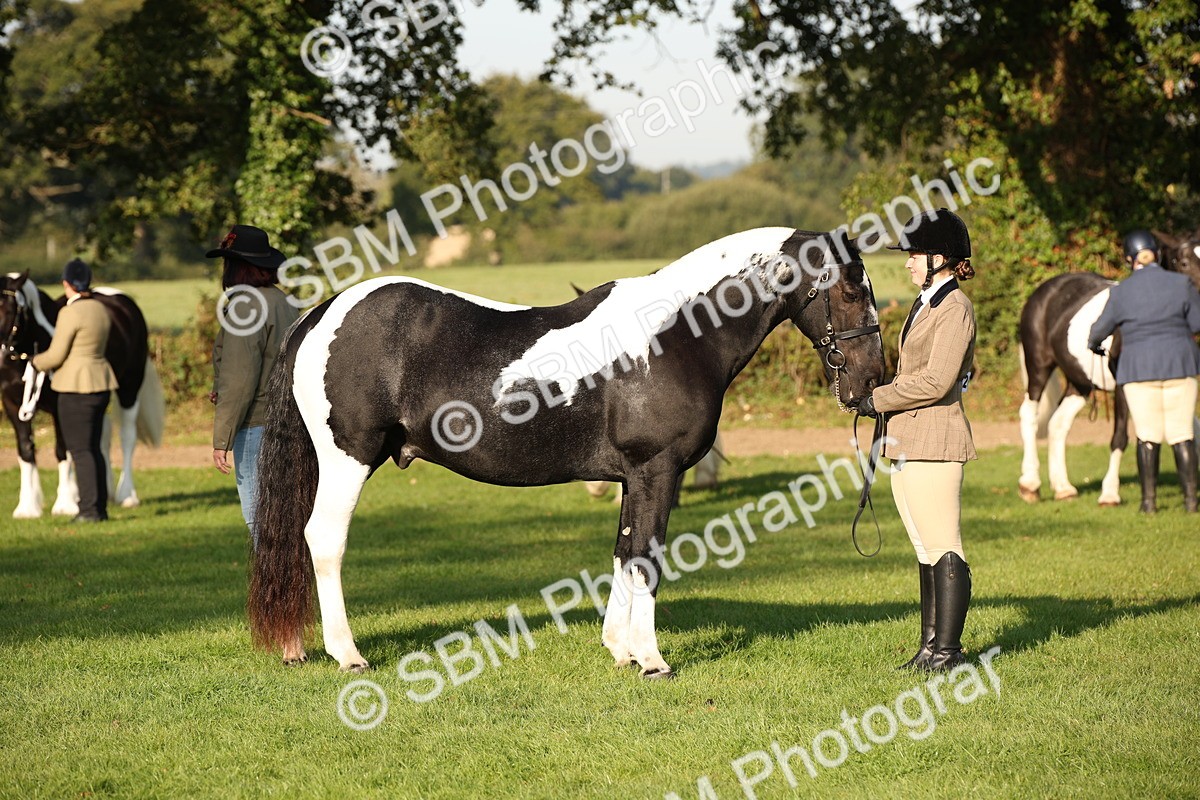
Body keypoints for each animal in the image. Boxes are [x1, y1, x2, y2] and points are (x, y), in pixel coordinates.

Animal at [248, 227, 884, 677]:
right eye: (852, 289)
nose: (872, 382)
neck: (675, 334)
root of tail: (322, 313)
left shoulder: (632, 476)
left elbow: (623, 550)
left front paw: (620, 649)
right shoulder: (657, 469)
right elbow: (647, 555)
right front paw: (653, 661)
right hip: (347, 459)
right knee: (324, 540)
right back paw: (347, 654)